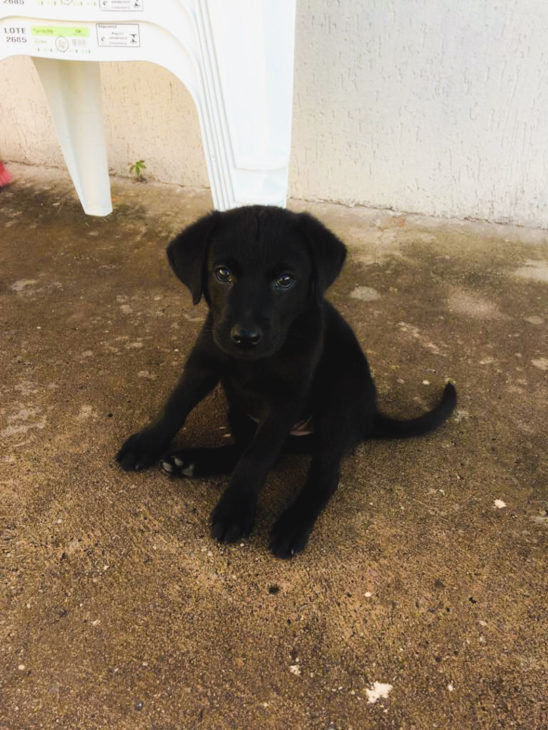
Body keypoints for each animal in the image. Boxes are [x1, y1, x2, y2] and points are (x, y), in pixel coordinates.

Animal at [116, 205, 458, 556]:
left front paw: (235, 510)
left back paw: (292, 525)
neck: (255, 361)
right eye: (222, 274)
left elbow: (258, 456)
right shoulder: (204, 363)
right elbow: (176, 406)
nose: (245, 337)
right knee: (255, 449)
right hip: (238, 410)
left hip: (340, 402)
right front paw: (146, 443)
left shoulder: (285, 400)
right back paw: (192, 461)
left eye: (285, 280)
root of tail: (370, 417)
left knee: (323, 476)